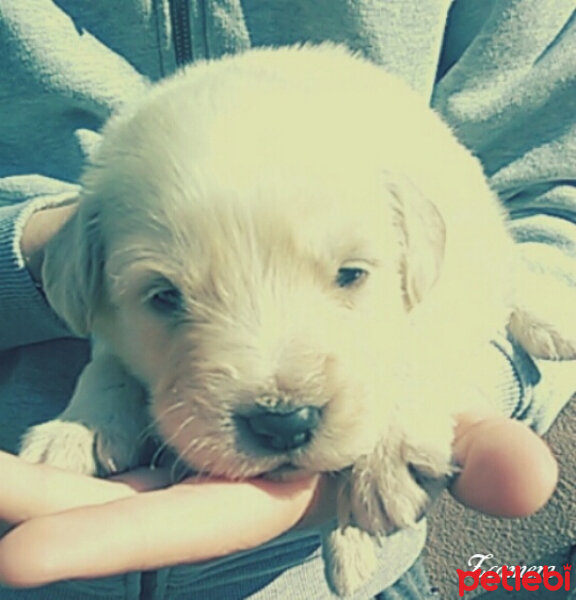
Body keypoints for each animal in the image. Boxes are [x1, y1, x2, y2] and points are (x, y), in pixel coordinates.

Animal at [19, 47, 576, 596]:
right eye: (164, 297)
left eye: (350, 274)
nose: (283, 423)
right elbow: (107, 365)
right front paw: (78, 430)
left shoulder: (438, 294)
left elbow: (409, 352)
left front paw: (385, 457)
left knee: (507, 275)